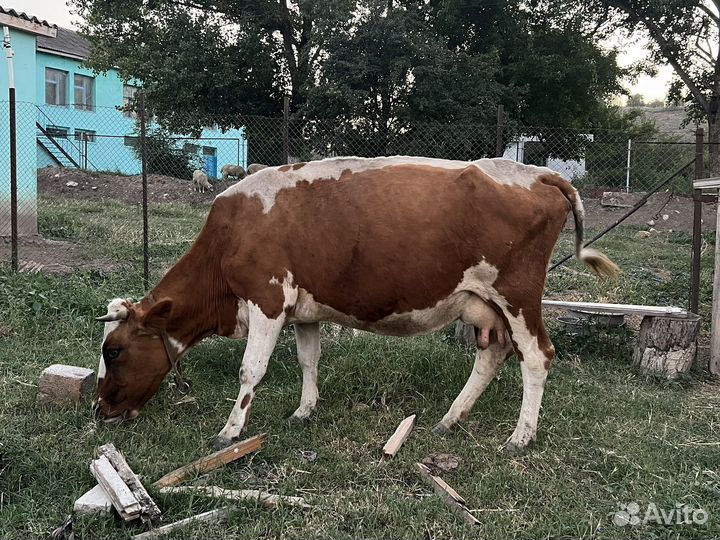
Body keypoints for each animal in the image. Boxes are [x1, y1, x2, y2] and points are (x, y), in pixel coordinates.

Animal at [96, 156, 618, 452]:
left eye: (114, 350)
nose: (100, 411)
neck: (229, 233)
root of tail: (539, 173)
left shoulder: (267, 298)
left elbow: (251, 370)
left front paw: (231, 430)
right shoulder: (303, 309)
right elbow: (308, 359)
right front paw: (304, 411)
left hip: (518, 295)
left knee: (537, 356)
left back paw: (520, 437)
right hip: (482, 302)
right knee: (492, 355)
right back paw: (450, 420)